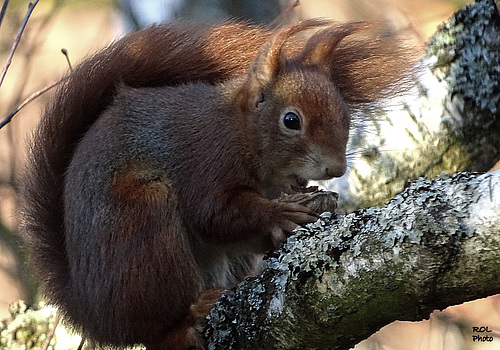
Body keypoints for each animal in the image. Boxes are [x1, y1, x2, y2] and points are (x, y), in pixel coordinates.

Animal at [20, 19, 414, 350]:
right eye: (291, 120)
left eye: (344, 114)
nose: (335, 168)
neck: (241, 130)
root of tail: (90, 313)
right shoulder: (206, 159)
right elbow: (211, 215)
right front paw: (281, 213)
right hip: (143, 225)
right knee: (155, 332)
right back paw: (186, 321)